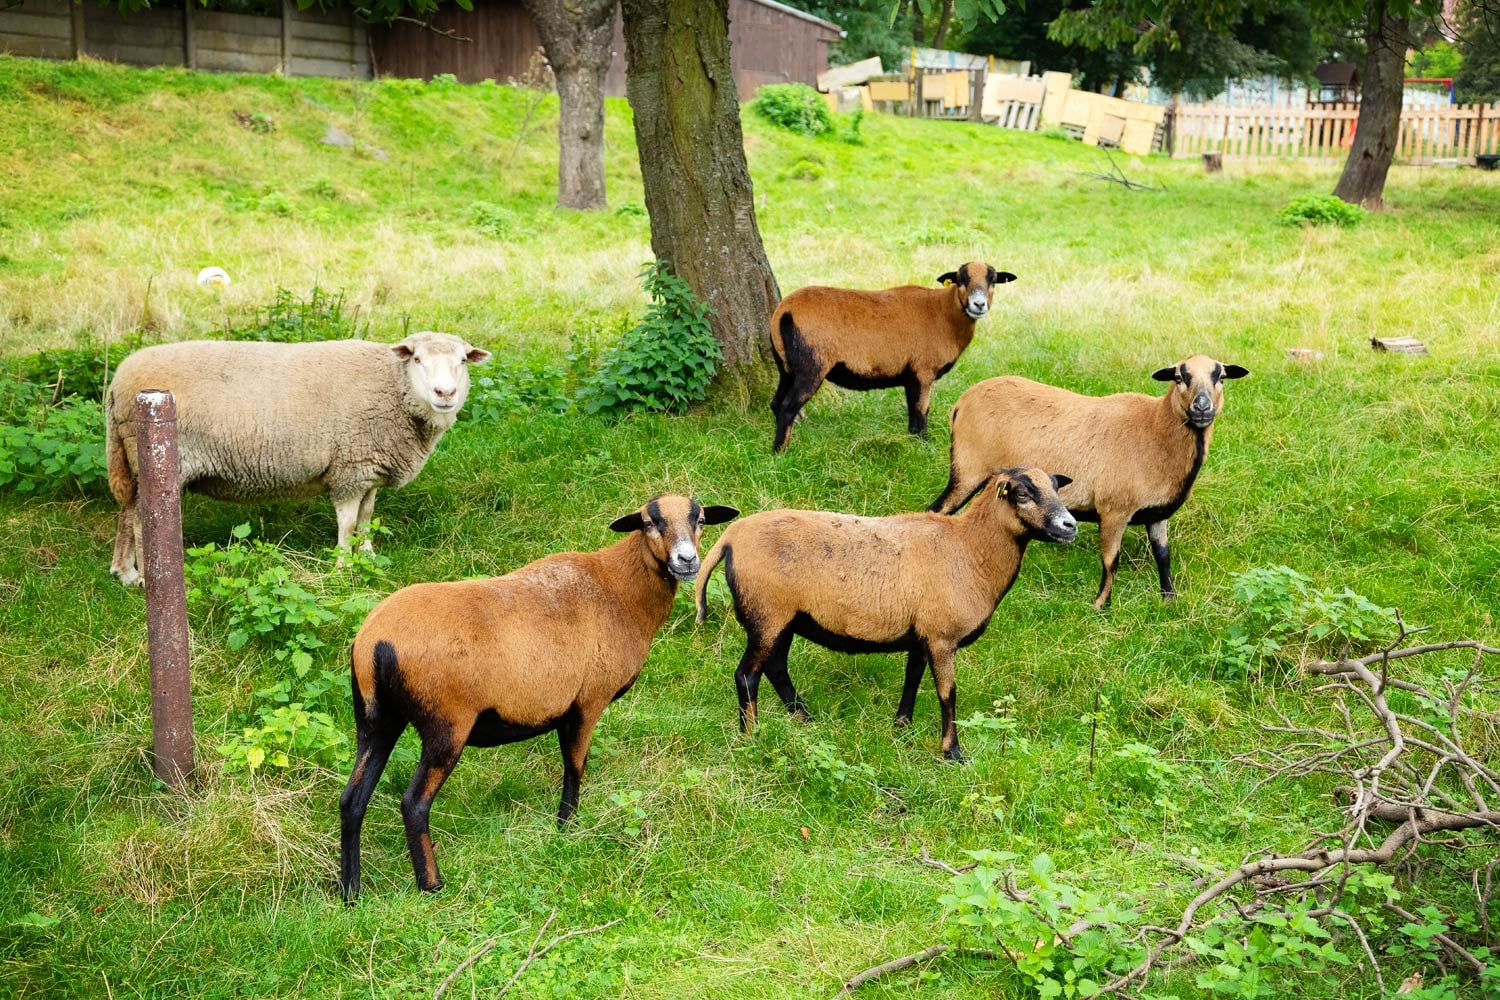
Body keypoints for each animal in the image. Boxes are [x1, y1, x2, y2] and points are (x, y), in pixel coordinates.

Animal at [107, 332, 492, 581]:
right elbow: (348, 523)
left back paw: (124, 572)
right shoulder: (349, 467)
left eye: (462, 361)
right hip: (155, 460)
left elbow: (367, 517)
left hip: (134, 460)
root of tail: (117, 382)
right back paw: (146, 578)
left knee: (127, 512)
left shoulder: (369, 467)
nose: (446, 393)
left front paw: (368, 555)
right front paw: (343, 568)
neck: (393, 389)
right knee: (140, 521)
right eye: (417, 359)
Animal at [340, 497, 738, 905]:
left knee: (352, 799)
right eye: (648, 522)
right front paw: (566, 828)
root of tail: (374, 642)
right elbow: (575, 767)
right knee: (413, 803)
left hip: (375, 718)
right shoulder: (588, 701)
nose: (686, 560)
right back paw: (431, 885)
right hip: (446, 724)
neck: (618, 588)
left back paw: (351, 892)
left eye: (700, 519)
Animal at [693, 470, 1080, 758]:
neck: (970, 550)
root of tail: (730, 537)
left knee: (775, 668)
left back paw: (805, 718)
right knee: (747, 675)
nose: (1069, 525)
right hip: (767, 614)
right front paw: (952, 752)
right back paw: (751, 736)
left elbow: (912, 678)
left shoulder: (922, 634)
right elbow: (948, 693)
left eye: (1056, 486)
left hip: (784, 619)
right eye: (1023, 493)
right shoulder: (942, 636)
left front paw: (902, 727)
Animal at [768, 263, 1014, 455]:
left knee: (776, 402)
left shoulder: (911, 376)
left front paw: (912, 442)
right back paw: (780, 453)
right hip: (812, 366)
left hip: (786, 367)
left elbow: (913, 410)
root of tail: (782, 312)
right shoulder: (923, 371)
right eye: (961, 279)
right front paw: (923, 447)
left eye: (993, 280)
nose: (978, 305)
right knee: (788, 406)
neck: (943, 312)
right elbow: (921, 411)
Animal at [930, 355, 1248, 614]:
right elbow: (1110, 560)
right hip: (967, 468)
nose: (1202, 408)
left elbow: (1163, 556)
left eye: (1220, 377)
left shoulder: (1157, 514)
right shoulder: (1114, 509)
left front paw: (1169, 600)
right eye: (1180, 377)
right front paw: (1101, 606)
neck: (1156, 430)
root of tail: (960, 403)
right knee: (937, 510)